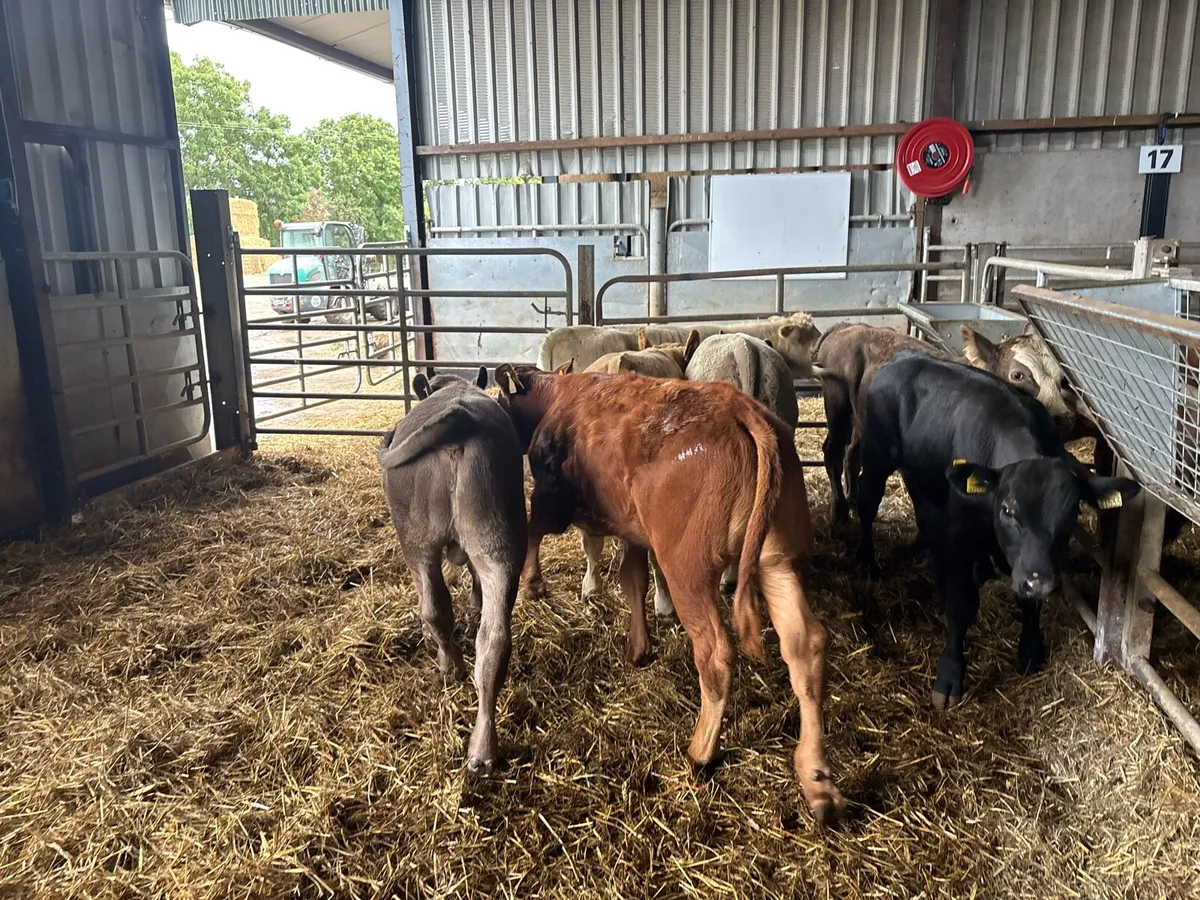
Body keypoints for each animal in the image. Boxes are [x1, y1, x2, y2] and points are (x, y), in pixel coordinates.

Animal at [378, 366, 527, 774]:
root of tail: (461, 417)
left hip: (416, 543)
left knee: (434, 607)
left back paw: (450, 665)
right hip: (500, 546)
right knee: (493, 641)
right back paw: (483, 750)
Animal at [493, 363, 844, 825]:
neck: (559, 397)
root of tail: (742, 409)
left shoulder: (553, 496)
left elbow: (534, 530)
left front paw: (533, 583)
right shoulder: (632, 529)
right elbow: (634, 580)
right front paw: (639, 646)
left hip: (687, 570)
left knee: (715, 653)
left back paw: (701, 752)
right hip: (776, 560)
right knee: (805, 644)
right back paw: (817, 779)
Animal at [854, 352, 1140, 709]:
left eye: (1072, 512)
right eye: (1008, 509)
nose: (1042, 583)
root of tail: (904, 357)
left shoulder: (1030, 563)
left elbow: (1028, 603)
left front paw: (1031, 650)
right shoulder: (960, 535)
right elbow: (962, 605)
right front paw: (950, 675)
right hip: (876, 456)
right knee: (867, 504)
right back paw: (868, 561)